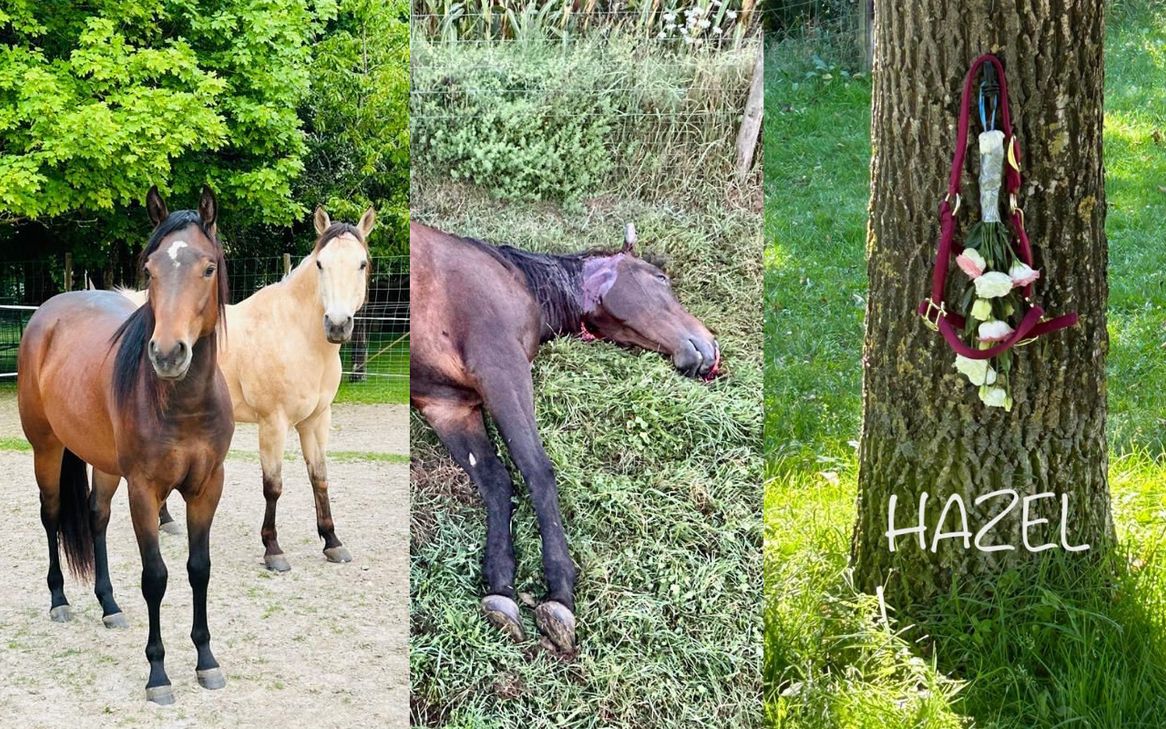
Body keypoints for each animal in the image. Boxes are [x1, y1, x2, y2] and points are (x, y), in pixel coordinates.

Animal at [17, 187, 233, 705]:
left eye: (208, 268)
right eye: (150, 269)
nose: (168, 354)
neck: (182, 404)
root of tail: (46, 314)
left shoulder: (206, 487)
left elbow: (199, 569)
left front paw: (206, 661)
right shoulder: (144, 491)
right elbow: (155, 577)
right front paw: (158, 674)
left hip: (104, 464)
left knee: (96, 517)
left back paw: (109, 605)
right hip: (46, 449)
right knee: (51, 515)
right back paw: (59, 600)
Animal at [145, 207, 375, 571]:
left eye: (362, 264)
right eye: (320, 263)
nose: (337, 325)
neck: (296, 333)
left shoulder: (316, 421)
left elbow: (319, 477)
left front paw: (332, 541)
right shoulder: (273, 423)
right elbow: (273, 486)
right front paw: (273, 549)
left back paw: (165, 520)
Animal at [410, 221, 719, 653]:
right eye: (660, 278)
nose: (710, 348)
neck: (514, 277)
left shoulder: (449, 407)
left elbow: (497, 481)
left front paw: (501, 588)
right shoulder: (500, 365)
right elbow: (537, 471)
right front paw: (560, 593)